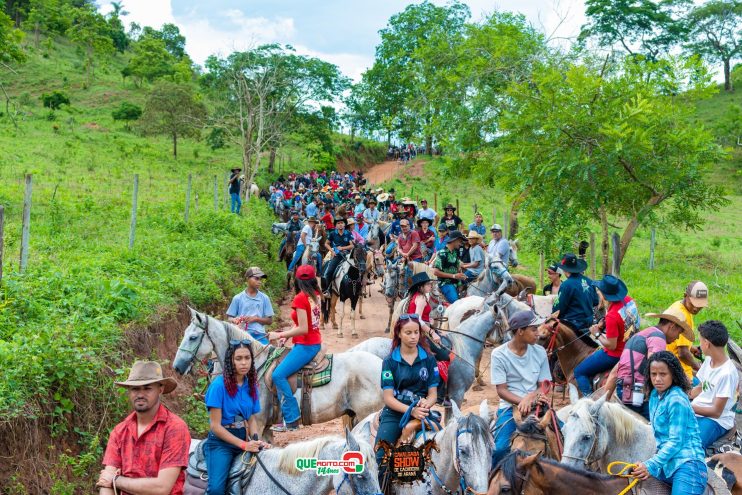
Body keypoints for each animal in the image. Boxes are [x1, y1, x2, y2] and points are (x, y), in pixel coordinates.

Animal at [173, 310, 384, 442]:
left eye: (192, 337)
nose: (176, 367)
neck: (254, 369)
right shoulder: (265, 428)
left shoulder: (257, 424)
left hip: (367, 415)